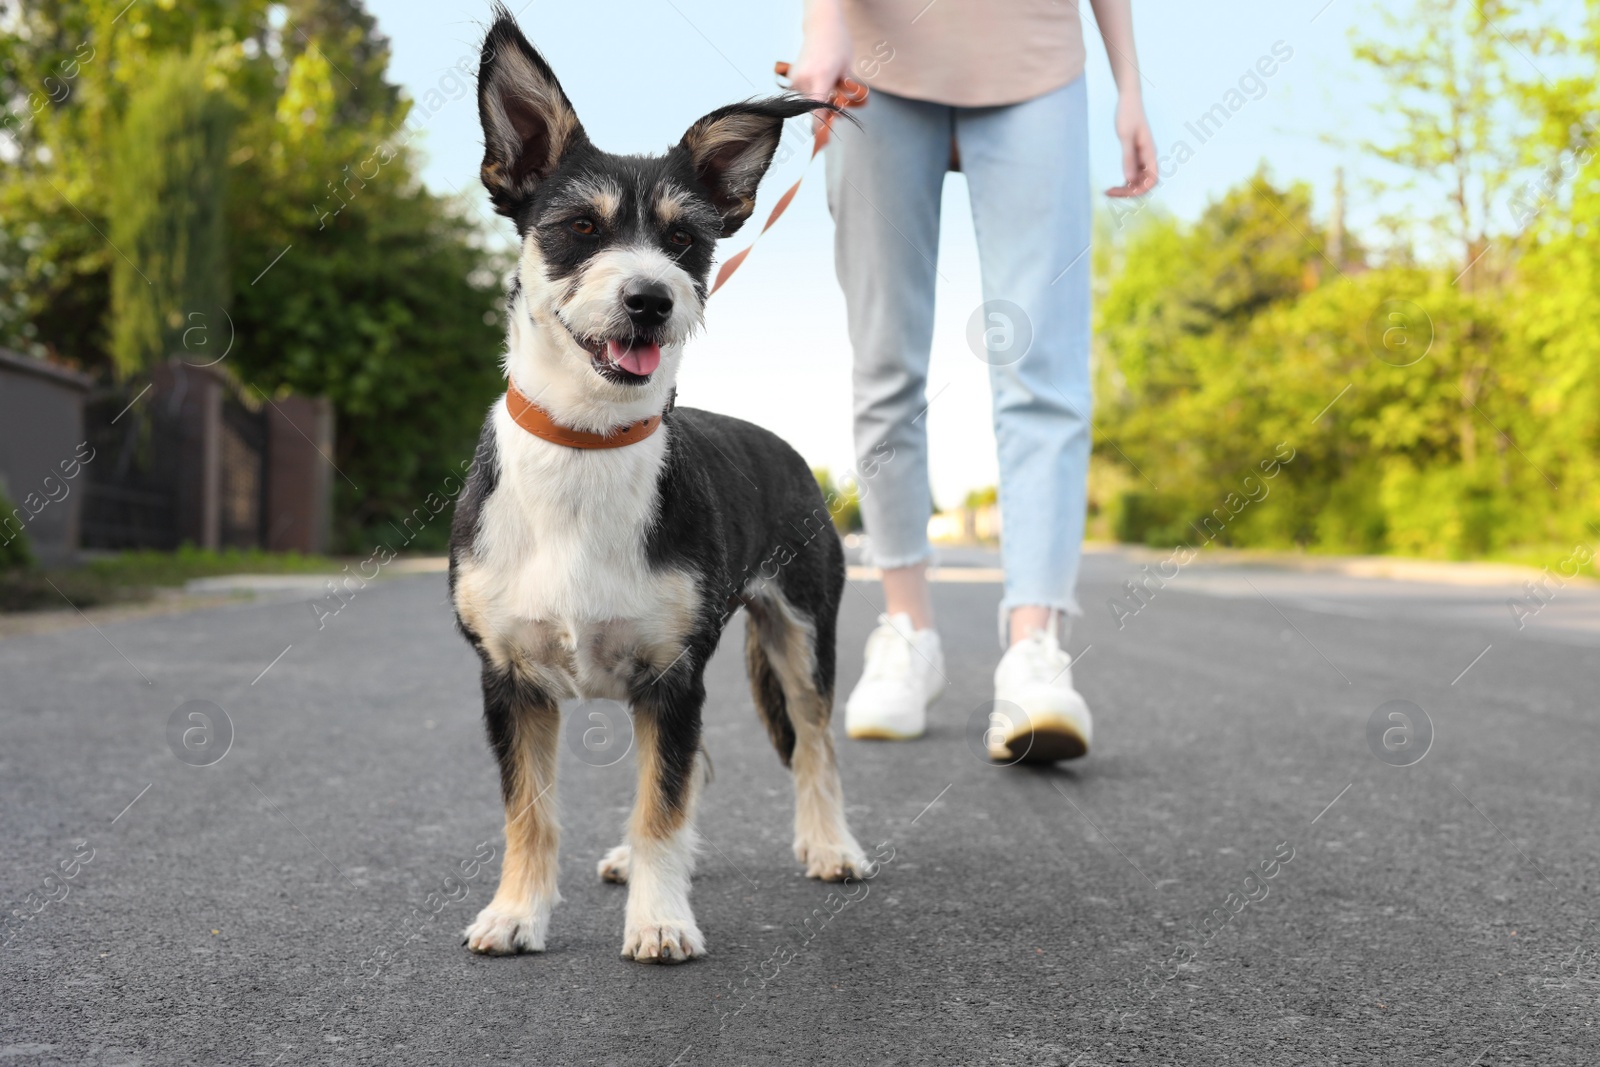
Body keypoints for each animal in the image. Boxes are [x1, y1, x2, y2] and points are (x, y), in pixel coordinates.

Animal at [444, 4, 870, 966]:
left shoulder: (673, 678)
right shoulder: (509, 682)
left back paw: (830, 845)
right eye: (579, 227)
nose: (651, 299)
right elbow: (532, 812)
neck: (586, 446)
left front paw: (662, 918)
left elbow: (661, 805)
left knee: (816, 746)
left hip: (801, 629)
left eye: (685, 239)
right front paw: (517, 912)